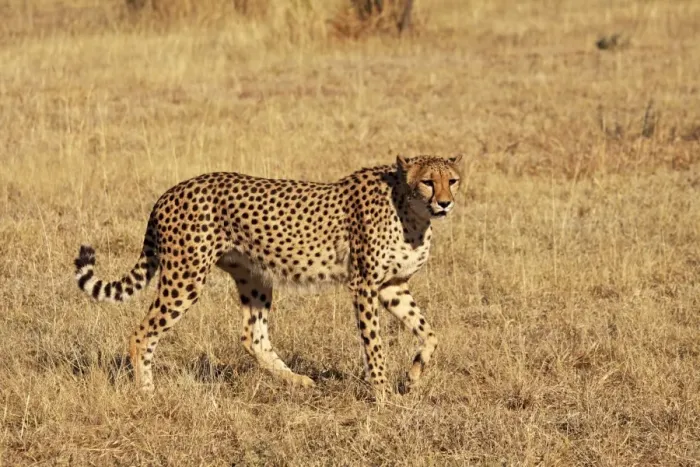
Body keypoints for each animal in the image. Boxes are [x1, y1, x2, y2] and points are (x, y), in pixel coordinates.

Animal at [73, 154, 463, 397]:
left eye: (453, 181)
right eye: (428, 182)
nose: (445, 202)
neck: (411, 212)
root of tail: (171, 191)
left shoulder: (392, 286)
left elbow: (431, 334)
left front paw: (412, 378)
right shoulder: (364, 285)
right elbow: (375, 345)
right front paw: (382, 395)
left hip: (254, 276)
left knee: (252, 337)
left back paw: (298, 381)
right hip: (185, 276)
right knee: (141, 334)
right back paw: (147, 393)